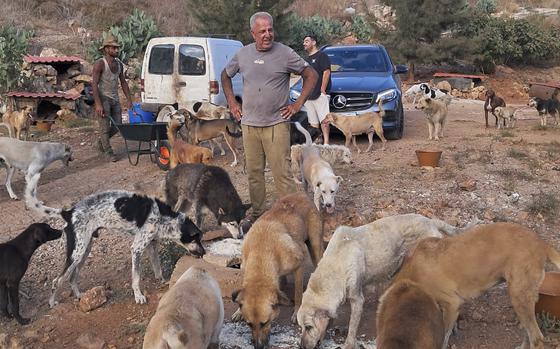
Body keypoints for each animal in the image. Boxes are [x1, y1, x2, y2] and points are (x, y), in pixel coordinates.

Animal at [49, 189, 205, 306]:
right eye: (196, 239)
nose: (204, 252)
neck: (163, 218)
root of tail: (69, 212)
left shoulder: (151, 245)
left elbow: (158, 268)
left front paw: (163, 281)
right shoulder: (136, 249)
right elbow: (136, 277)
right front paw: (138, 296)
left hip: (84, 250)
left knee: (72, 277)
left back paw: (79, 295)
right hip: (77, 252)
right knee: (57, 280)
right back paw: (52, 302)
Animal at [232, 190, 324, 348]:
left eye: (265, 323)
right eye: (249, 324)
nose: (258, 346)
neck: (261, 251)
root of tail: (301, 193)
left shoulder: (298, 265)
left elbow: (298, 293)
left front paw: (296, 311)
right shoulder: (245, 267)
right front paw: (238, 310)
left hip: (314, 246)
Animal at [298, 212, 460, 348]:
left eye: (309, 327)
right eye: (301, 327)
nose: (301, 346)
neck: (336, 261)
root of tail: (430, 221)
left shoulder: (357, 299)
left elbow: (352, 326)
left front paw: (349, 343)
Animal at [394, 223, 560, 348]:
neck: (411, 274)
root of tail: (542, 243)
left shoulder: (452, 303)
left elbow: (444, 337)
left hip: (518, 296)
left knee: (537, 338)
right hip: (523, 299)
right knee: (529, 333)